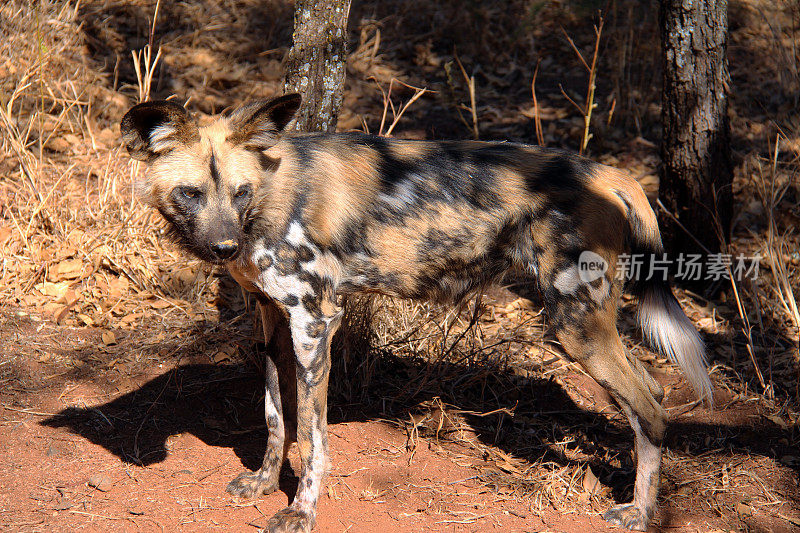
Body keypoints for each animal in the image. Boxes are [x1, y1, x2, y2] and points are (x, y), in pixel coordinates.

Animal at [123, 93, 712, 528]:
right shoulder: (270, 317)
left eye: (241, 192)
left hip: (575, 326)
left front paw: (301, 512)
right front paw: (264, 484)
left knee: (650, 409)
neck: (269, 194)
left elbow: (311, 439)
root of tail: (608, 172)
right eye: (191, 194)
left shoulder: (315, 322)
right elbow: (275, 416)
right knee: (650, 395)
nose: (223, 248)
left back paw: (641, 513)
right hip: (585, 330)